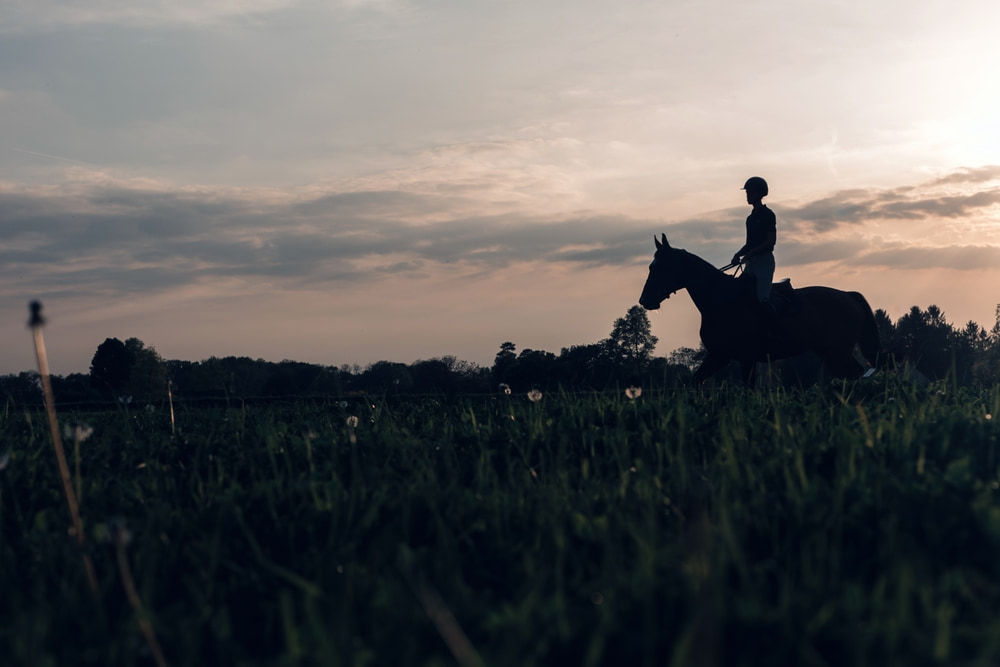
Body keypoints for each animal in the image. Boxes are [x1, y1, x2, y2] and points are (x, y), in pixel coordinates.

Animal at [638, 234, 881, 385]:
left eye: (660, 267)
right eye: (651, 266)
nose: (645, 300)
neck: (721, 299)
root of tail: (848, 295)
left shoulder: (734, 357)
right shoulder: (723, 355)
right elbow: (696, 381)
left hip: (837, 351)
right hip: (830, 352)